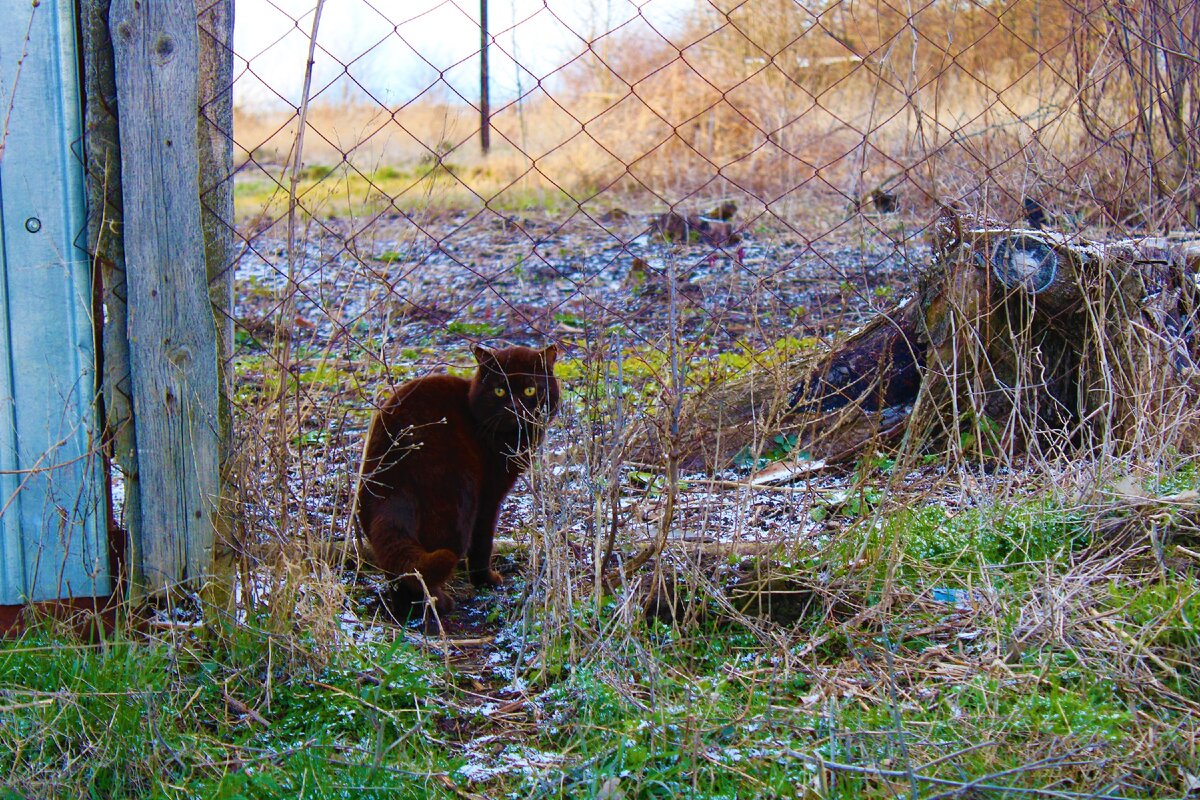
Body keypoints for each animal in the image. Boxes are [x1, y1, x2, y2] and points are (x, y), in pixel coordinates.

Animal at [357, 345, 559, 618]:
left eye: (530, 390)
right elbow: (482, 543)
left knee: (396, 567)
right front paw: (485, 580)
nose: (514, 408)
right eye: (499, 390)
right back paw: (439, 604)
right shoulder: (489, 497)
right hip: (456, 508)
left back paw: (405, 612)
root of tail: (392, 481)